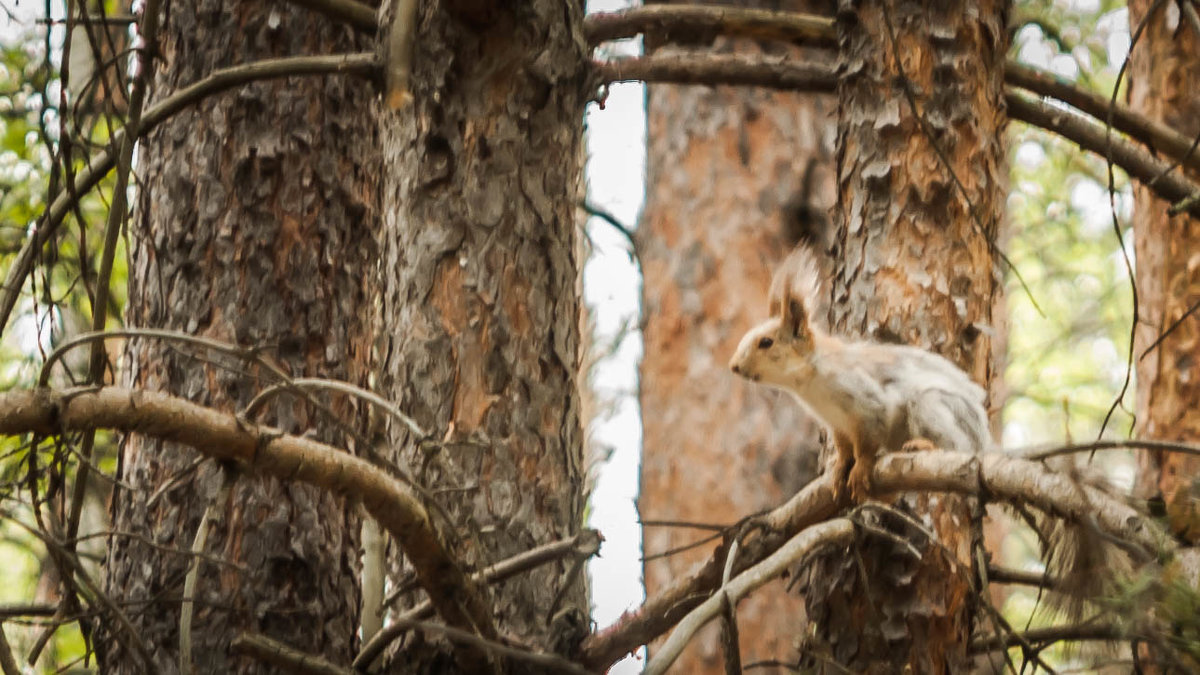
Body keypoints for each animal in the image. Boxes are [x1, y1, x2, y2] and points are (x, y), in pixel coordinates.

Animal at [724, 246, 988, 499]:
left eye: (766, 342)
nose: (733, 366)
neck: (810, 384)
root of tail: (984, 441)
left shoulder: (868, 402)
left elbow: (866, 444)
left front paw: (860, 468)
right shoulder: (836, 423)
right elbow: (843, 448)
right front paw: (840, 468)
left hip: (935, 407)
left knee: (956, 445)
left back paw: (924, 445)